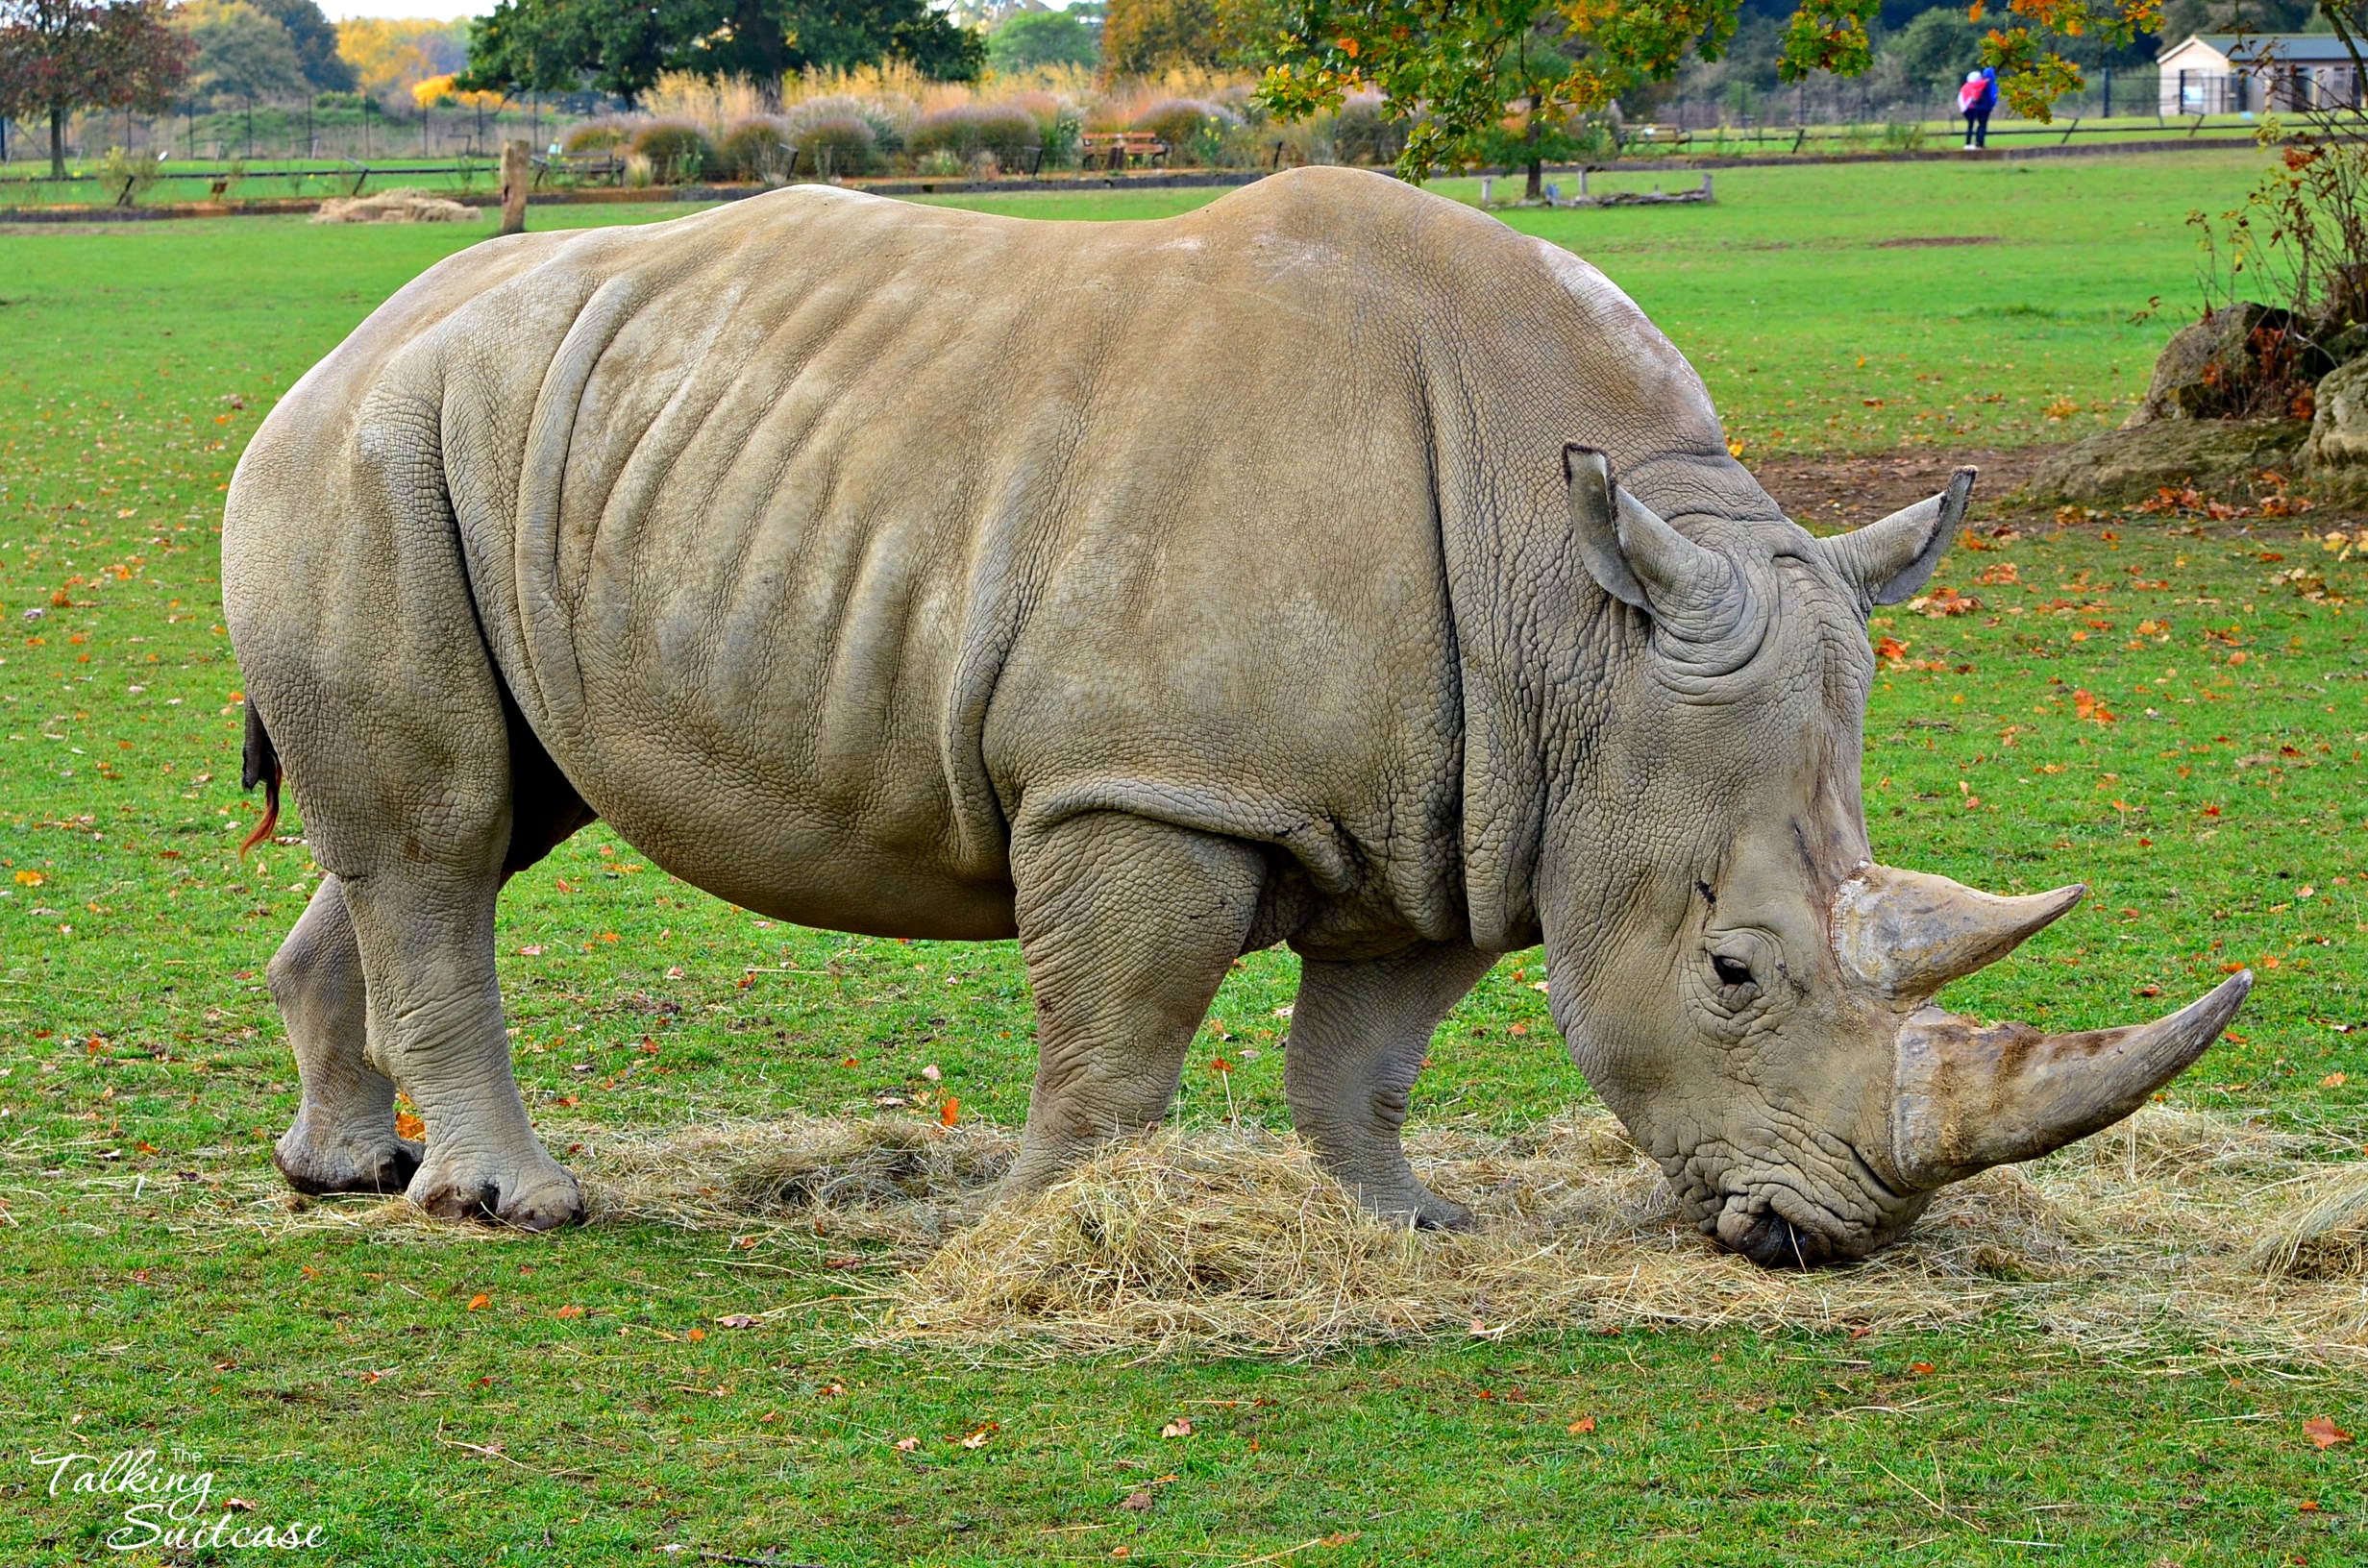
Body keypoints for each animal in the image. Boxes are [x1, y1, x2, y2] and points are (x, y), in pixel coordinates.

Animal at [223, 168, 2249, 1266]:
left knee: (466, 814)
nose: (1831, 1234)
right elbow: (1118, 1028)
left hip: (492, 455)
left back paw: (347, 1171)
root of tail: (342, 340)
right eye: (1735, 970)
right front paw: (1046, 1237)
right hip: (364, 451)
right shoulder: (1151, 781)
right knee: (443, 833)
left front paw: (1400, 1226)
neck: (1579, 622)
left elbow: (1367, 1044)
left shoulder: (1479, 805)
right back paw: (512, 1205)